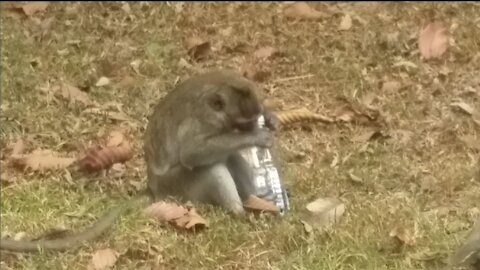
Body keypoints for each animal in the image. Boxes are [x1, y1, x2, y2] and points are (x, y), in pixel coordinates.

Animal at [0, 69, 278, 253]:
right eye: (243, 123)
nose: (252, 126)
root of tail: (154, 188)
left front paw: (270, 118)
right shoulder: (199, 121)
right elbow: (192, 152)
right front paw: (256, 136)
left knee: (230, 157)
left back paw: (256, 202)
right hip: (177, 188)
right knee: (212, 165)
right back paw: (239, 212)